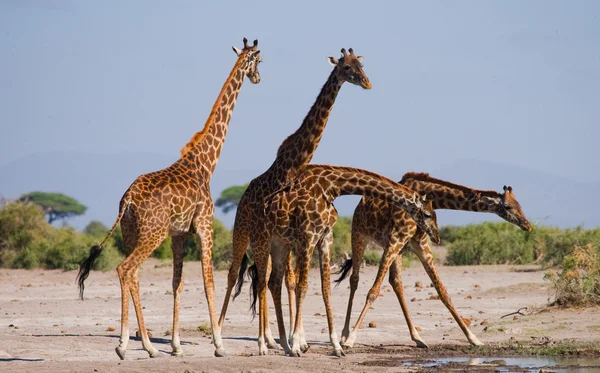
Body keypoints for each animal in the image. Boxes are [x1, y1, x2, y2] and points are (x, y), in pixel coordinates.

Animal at [75, 37, 262, 358]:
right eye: (259, 61)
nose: (259, 78)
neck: (206, 162)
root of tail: (127, 200)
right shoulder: (205, 225)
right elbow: (208, 281)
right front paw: (219, 344)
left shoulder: (179, 233)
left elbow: (177, 282)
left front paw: (175, 346)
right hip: (153, 233)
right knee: (126, 269)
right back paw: (134, 345)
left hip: (131, 233)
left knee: (134, 275)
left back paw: (139, 344)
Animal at [217, 46, 370, 354]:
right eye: (346, 68)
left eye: (360, 65)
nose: (367, 82)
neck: (295, 162)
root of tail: (242, 197)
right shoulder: (295, 236)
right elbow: (290, 282)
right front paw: (293, 339)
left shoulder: (295, 238)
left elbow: (295, 282)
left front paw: (298, 339)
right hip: (245, 234)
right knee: (238, 275)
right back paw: (228, 337)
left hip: (271, 241)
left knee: (268, 280)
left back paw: (274, 339)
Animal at [246, 164, 438, 356]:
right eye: (427, 214)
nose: (435, 236)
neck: (331, 188)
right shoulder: (308, 237)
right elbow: (303, 287)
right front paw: (297, 344)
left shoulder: (325, 237)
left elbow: (326, 288)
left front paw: (336, 346)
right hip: (261, 241)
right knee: (261, 284)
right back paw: (264, 346)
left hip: (281, 245)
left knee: (273, 283)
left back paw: (285, 346)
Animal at [336, 173, 532, 348]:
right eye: (507, 206)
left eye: (519, 204)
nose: (527, 225)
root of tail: (360, 204)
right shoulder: (396, 240)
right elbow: (373, 291)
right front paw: (351, 339)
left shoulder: (420, 245)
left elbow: (443, 292)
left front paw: (474, 339)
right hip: (359, 235)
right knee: (355, 279)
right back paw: (344, 335)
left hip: (395, 250)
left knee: (396, 282)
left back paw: (417, 338)